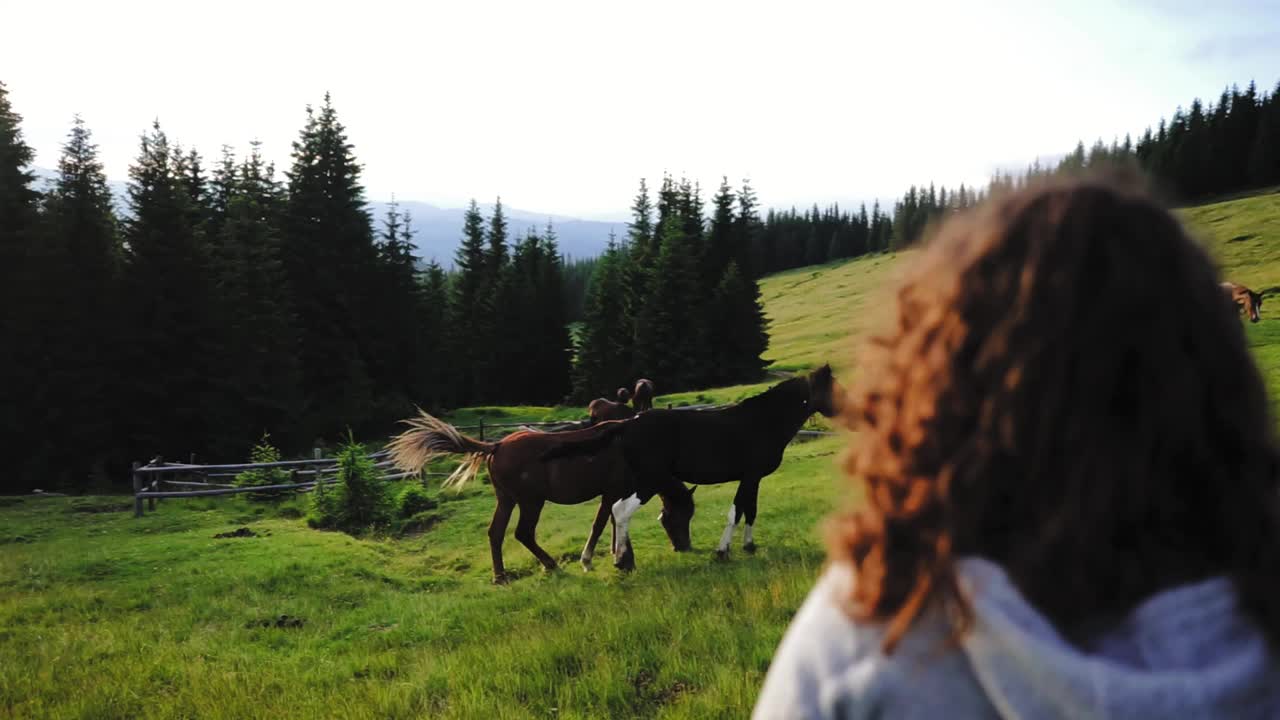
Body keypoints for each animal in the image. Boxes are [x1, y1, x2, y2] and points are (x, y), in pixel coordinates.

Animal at [386, 409, 696, 584]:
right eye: (679, 516)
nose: (684, 547)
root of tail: (497, 445)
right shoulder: (611, 493)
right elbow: (600, 524)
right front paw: (603, 558)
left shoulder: (614, 494)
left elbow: (610, 522)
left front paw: (616, 553)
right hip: (531, 502)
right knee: (523, 534)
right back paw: (550, 565)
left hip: (507, 500)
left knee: (495, 533)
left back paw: (500, 576)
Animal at [545, 366, 844, 558]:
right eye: (836, 389)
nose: (851, 409)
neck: (762, 421)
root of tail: (628, 423)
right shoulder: (748, 476)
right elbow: (736, 511)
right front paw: (722, 551)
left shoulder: (754, 477)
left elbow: (751, 509)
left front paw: (748, 546)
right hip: (648, 480)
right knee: (620, 511)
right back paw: (622, 560)